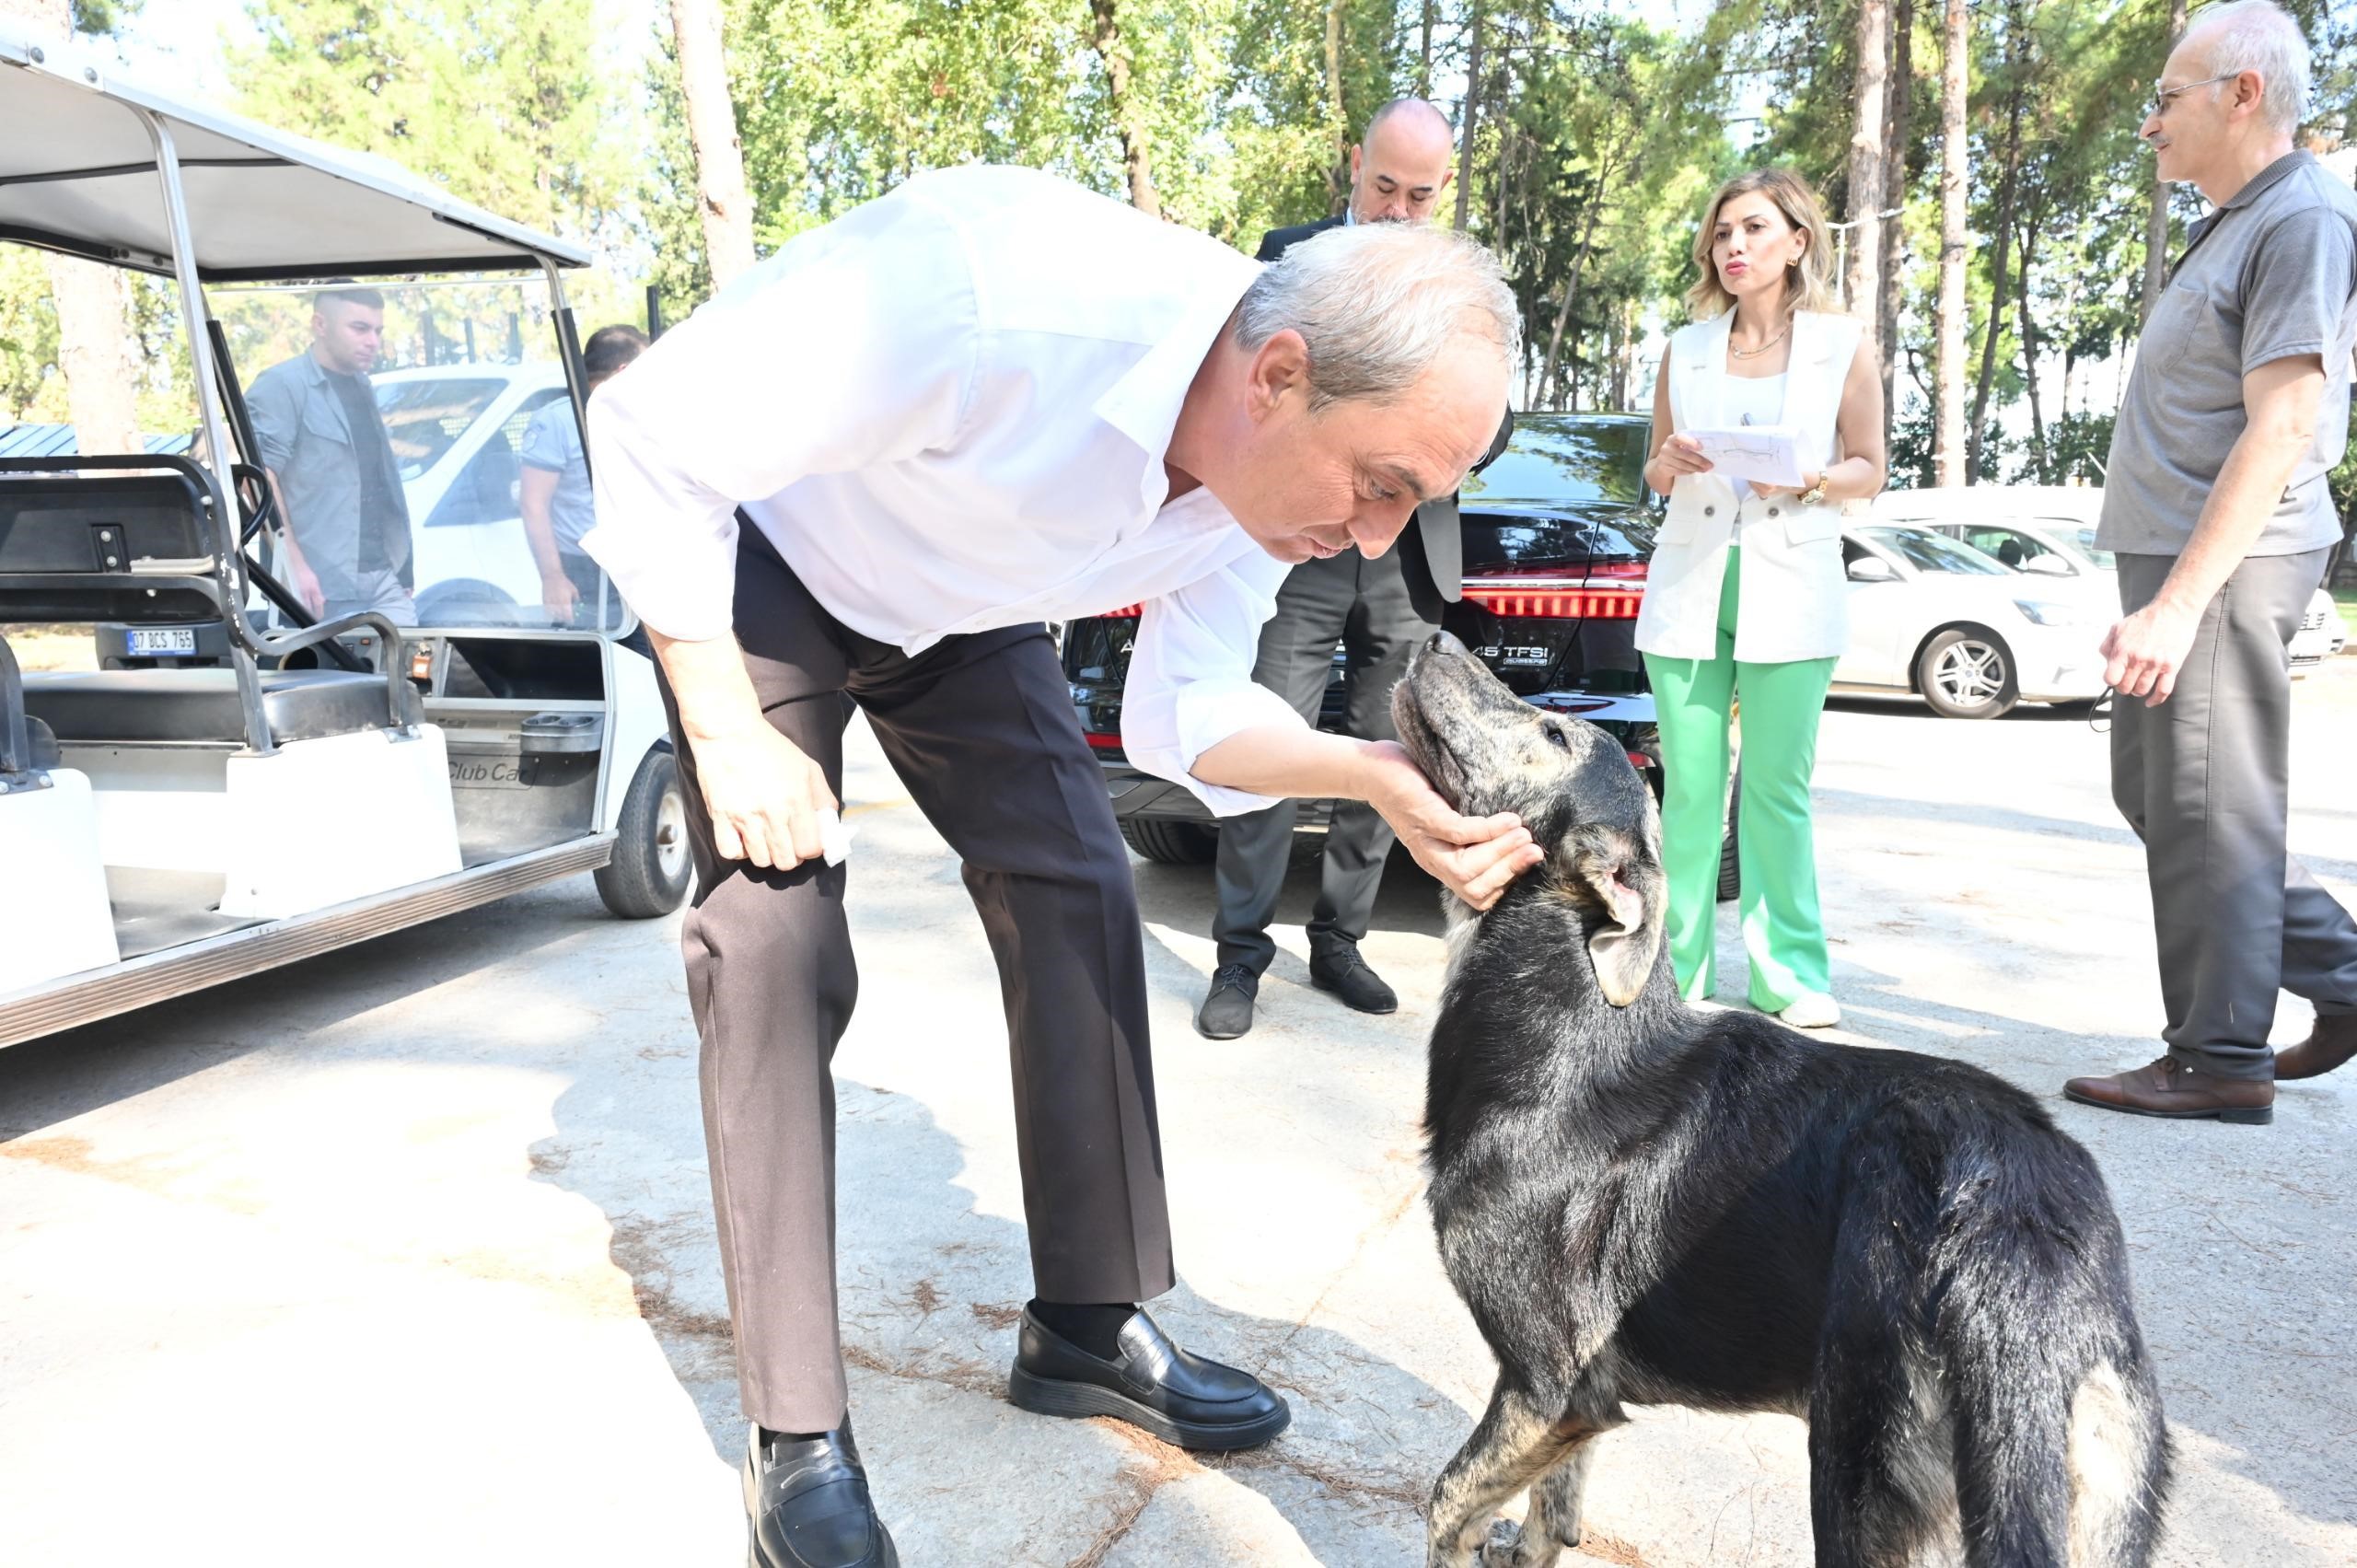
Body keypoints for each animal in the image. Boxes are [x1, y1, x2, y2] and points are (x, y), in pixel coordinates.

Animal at [1386, 632, 2158, 1565]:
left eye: (1553, 732)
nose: (1436, 635)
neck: (1570, 1026)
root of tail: (2017, 1224)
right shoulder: (1578, 1412)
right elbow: (1552, 1513)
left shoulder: (1546, 1386)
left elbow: (1445, 1502)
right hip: (2101, 1484)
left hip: (1860, 1459)